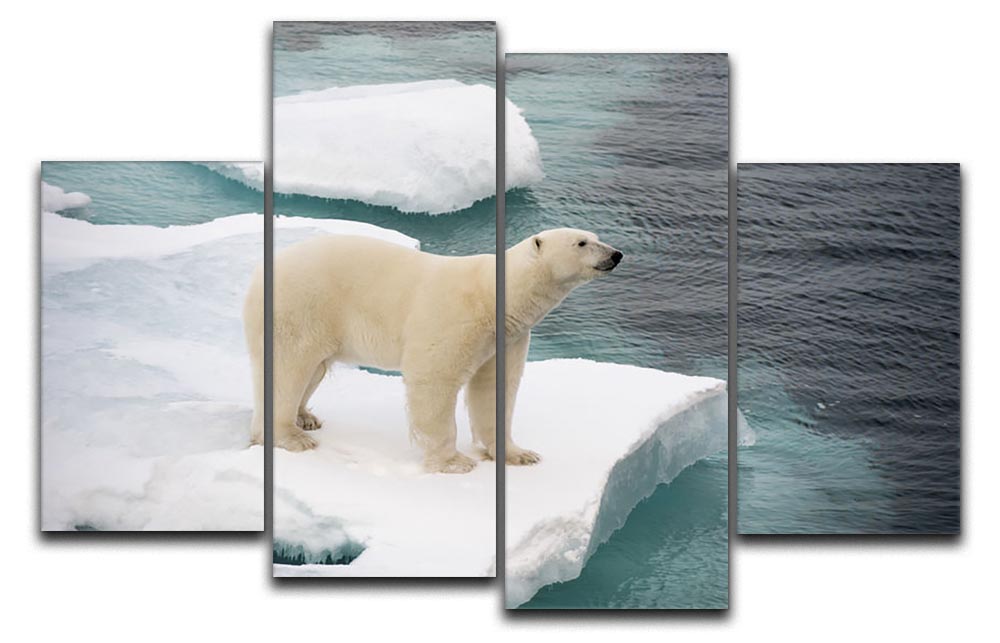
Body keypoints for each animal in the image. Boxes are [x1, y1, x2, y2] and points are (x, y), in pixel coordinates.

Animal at [242, 228, 622, 474]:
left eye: (594, 235)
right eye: (582, 242)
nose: (616, 254)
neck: (493, 294)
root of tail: (259, 274)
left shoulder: (506, 337)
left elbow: (496, 388)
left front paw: (518, 454)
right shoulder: (455, 317)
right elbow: (434, 379)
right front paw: (454, 461)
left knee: (314, 369)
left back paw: (306, 416)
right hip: (301, 306)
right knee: (289, 366)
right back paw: (290, 436)